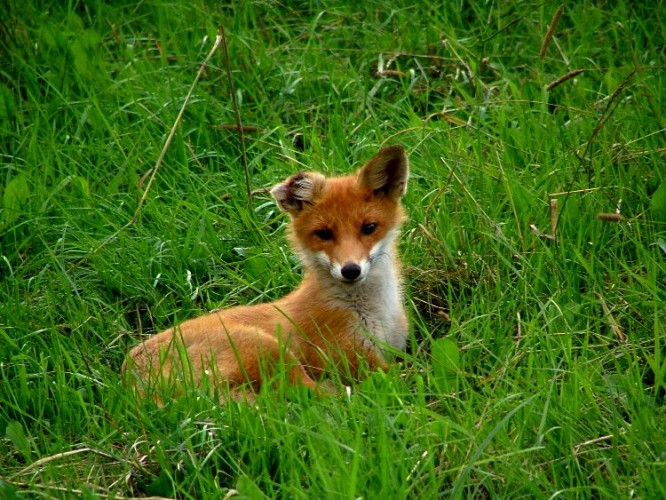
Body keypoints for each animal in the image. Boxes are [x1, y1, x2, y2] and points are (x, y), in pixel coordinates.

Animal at [122, 144, 408, 398]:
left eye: (369, 227)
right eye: (324, 234)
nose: (350, 270)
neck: (377, 314)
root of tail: (129, 378)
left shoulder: (393, 348)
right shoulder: (355, 358)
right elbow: (405, 374)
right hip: (268, 349)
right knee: (317, 397)